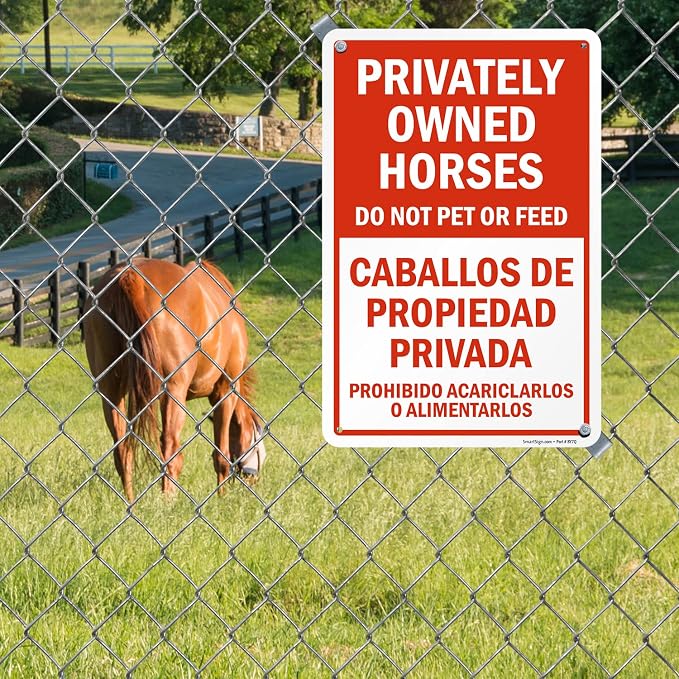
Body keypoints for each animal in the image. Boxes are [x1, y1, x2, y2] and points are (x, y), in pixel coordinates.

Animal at [83, 258, 265, 502]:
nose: (253, 480)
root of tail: (129, 275)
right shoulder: (225, 390)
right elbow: (221, 455)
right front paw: (221, 497)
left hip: (110, 390)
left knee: (122, 450)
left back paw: (130, 501)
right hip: (173, 391)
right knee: (169, 448)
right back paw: (168, 500)